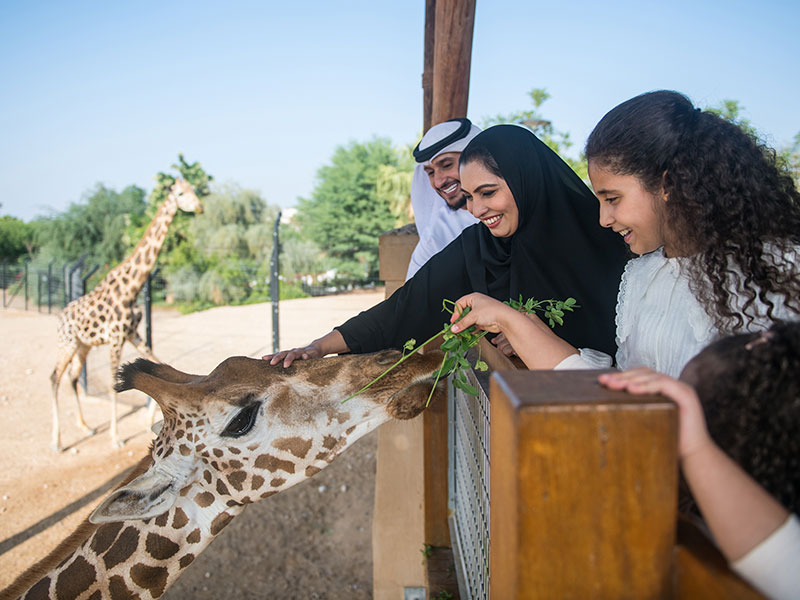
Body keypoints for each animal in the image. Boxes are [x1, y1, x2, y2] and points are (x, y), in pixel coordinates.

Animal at [49, 178, 203, 450]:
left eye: (193, 190)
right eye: (181, 193)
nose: (200, 207)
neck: (131, 288)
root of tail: (61, 315)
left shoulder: (133, 333)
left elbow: (156, 361)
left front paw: (152, 415)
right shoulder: (116, 337)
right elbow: (114, 381)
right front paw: (116, 438)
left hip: (83, 345)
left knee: (73, 376)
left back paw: (85, 426)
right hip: (66, 343)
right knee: (55, 377)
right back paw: (57, 441)